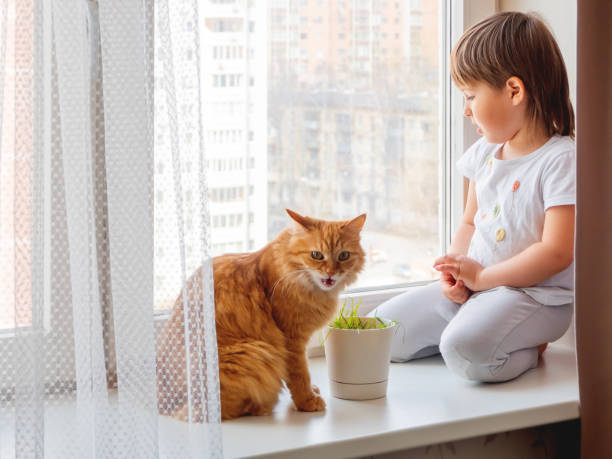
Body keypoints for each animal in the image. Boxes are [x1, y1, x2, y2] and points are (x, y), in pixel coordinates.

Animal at [158, 210, 366, 422]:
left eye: (343, 256)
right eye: (316, 255)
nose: (331, 273)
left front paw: (312, 392)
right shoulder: (291, 340)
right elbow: (300, 375)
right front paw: (307, 401)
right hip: (254, 354)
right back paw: (260, 406)